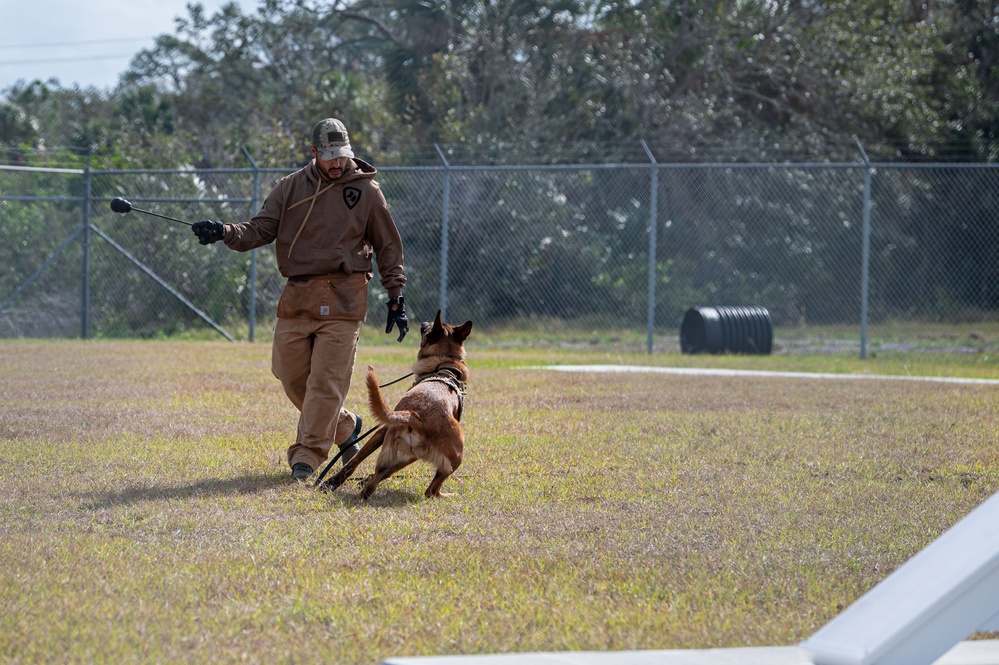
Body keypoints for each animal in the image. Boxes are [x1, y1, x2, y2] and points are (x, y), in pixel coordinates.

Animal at [322, 312, 474, 498]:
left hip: (418, 454)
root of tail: (415, 416)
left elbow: (357, 461)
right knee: (429, 490)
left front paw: (336, 482)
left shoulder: (384, 431)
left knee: (382, 480)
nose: (423, 322)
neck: (444, 365)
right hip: (442, 457)